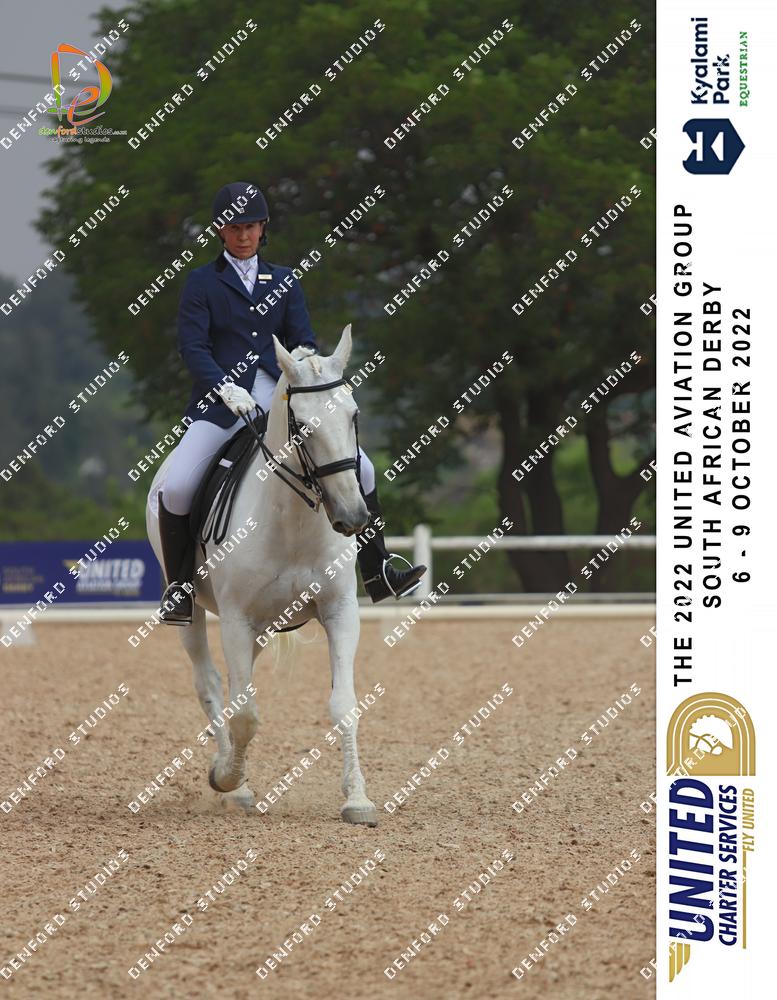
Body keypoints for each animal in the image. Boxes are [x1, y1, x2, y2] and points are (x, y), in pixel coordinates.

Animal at [146, 325, 379, 825]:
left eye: (353, 416)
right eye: (303, 428)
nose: (353, 517)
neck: (293, 519)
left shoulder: (340, 611)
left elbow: (344, 704)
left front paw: (357, 798)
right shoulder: (235, 619)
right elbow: (245, 713)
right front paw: (228, 780)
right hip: (195, 612)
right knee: (212, 683)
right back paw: (232, 781)